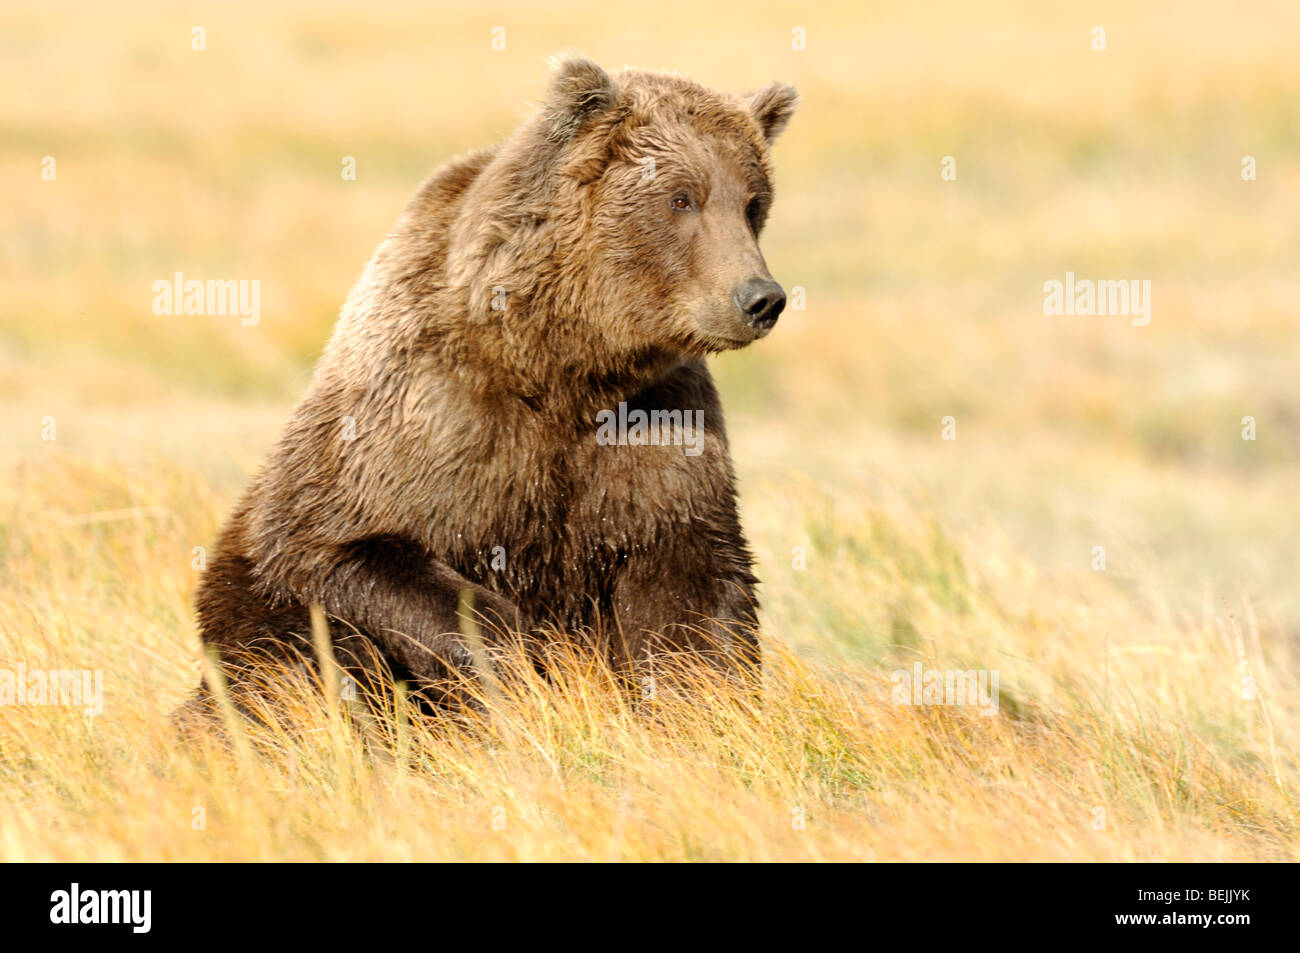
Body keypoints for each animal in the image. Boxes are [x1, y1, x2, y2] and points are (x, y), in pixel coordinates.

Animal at [189, 57, 798, 714]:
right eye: (681, 197)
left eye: (753, 203)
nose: (760, 298)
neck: (557, 367)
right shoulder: (422, 422)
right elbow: (345, 548)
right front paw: (527, 670)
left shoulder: (655, 433)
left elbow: (691, 592)